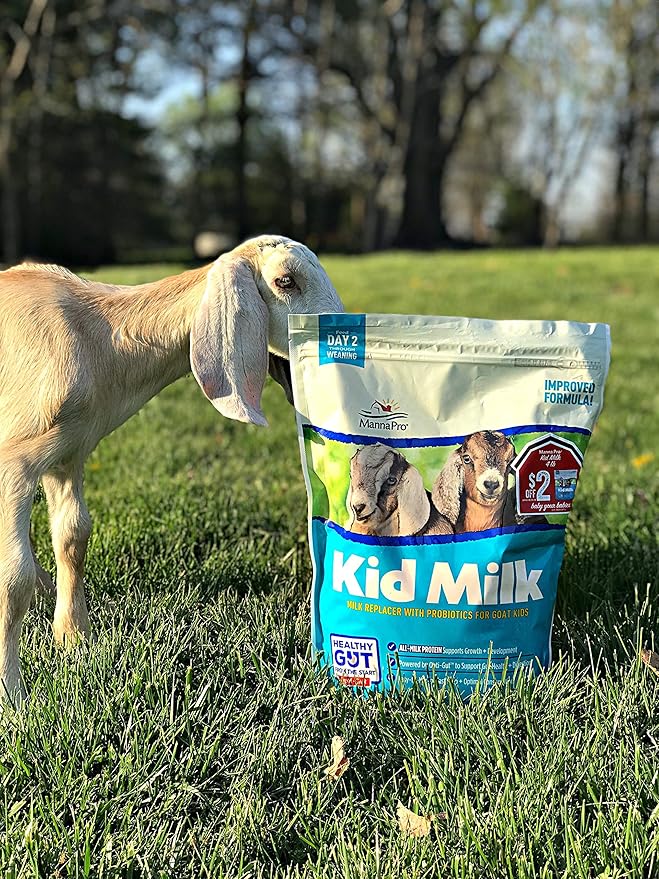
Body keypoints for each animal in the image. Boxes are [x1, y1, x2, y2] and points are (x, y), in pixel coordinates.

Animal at [0, 235, 343, 705]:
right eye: (286, 281)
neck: (97, 337)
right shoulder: (15, 461)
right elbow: (12, 579)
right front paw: (14, 695)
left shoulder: (68, 453)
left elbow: (73, 535)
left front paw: (74, 638)